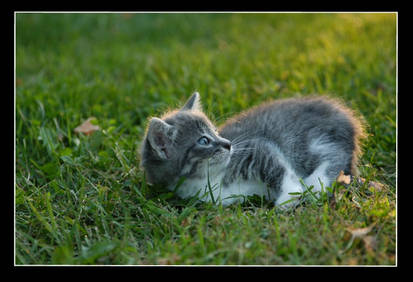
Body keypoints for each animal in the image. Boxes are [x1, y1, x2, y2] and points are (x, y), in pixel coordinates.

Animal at [140, 92, 366, 207]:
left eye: (215, 131)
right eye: (204, 141)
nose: (228, 143)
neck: (208, 180)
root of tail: (344, 116)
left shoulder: (258, 148)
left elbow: (280, 170)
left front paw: (288, 198)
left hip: (307, 140)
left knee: (334, 155)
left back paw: (315, 185)